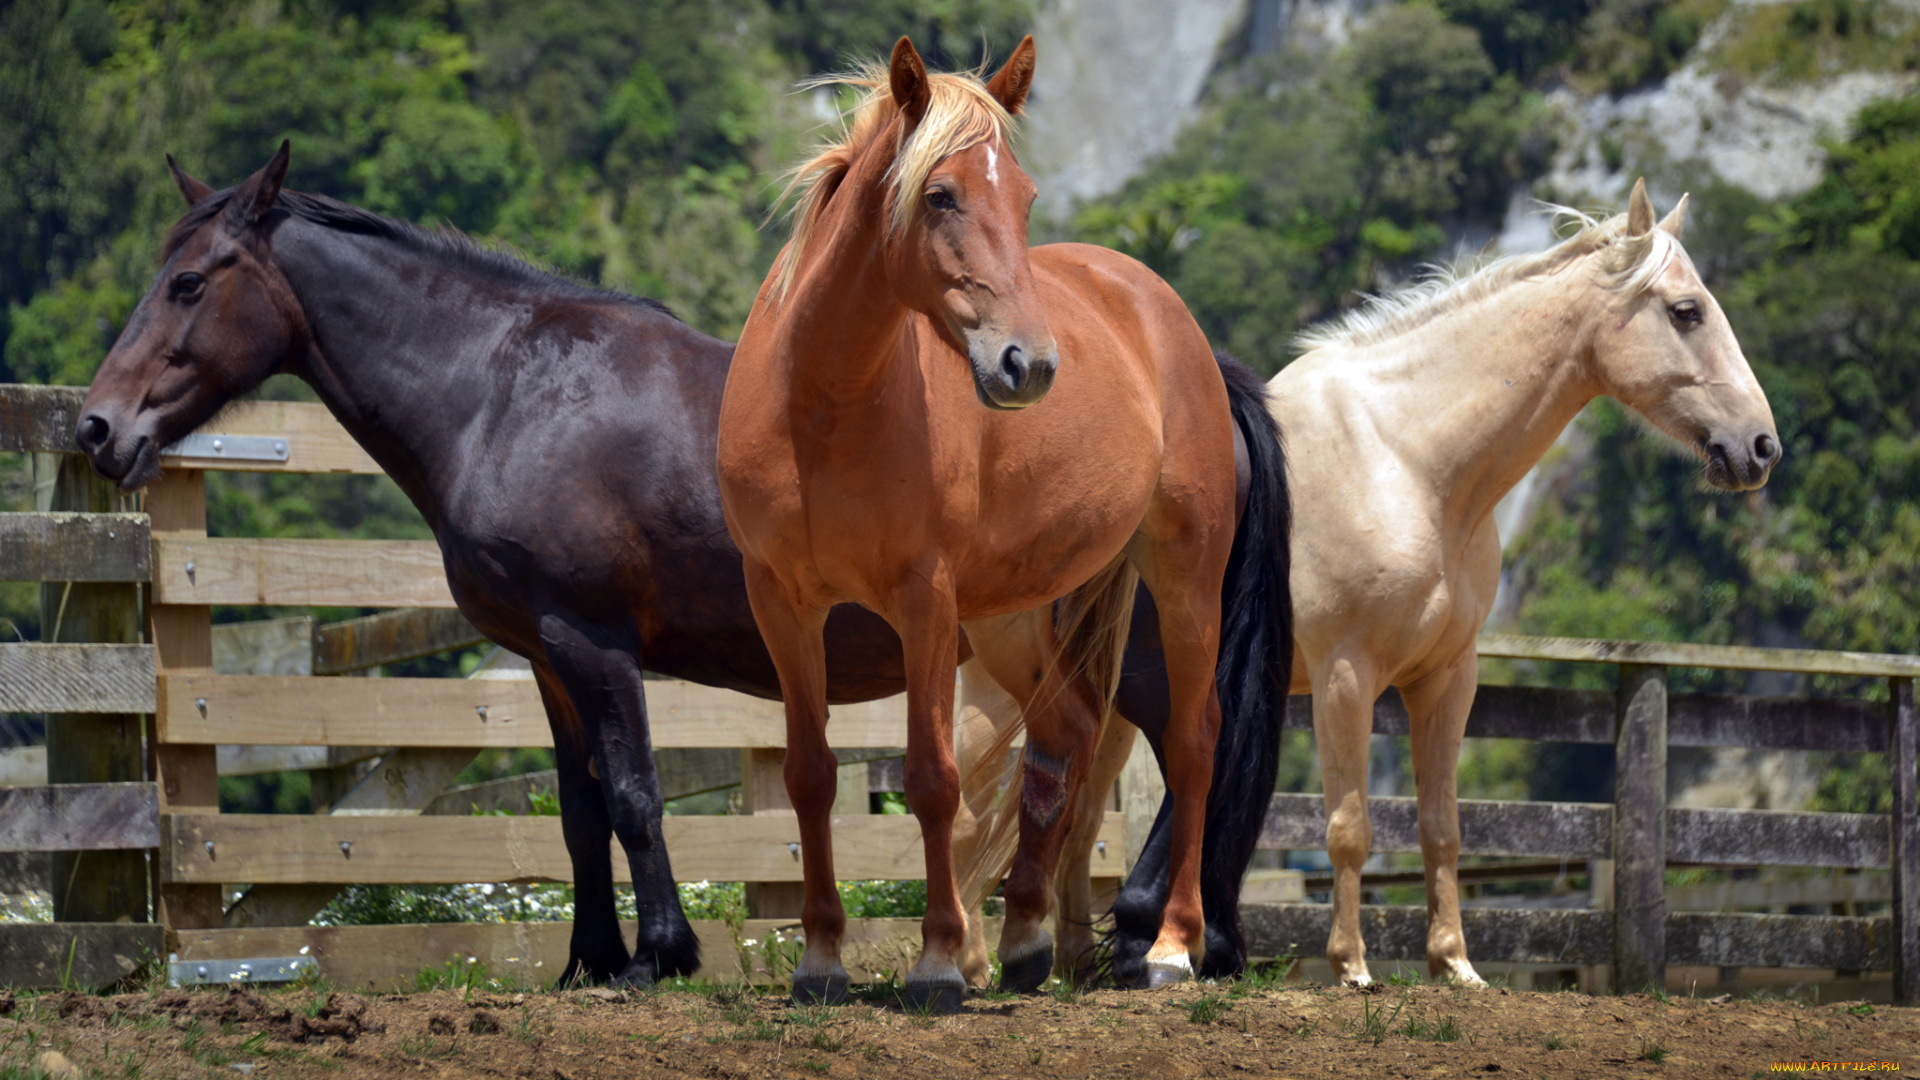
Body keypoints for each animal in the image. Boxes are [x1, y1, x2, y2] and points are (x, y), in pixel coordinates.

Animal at [714, 35, 1282, 1006]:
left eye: (1023, 198)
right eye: (940, 194)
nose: (1031, 365)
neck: (821, 405)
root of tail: (1181, 328)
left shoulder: (924, 602)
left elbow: (934, 780)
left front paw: (939, 958)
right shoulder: (781, 602)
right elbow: (810, 774)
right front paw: (822, 958)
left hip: (1183, 577)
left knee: (1192, 739)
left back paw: (1172, 947)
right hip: (1014, 617)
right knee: (1065, 738)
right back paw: (1023, 942)